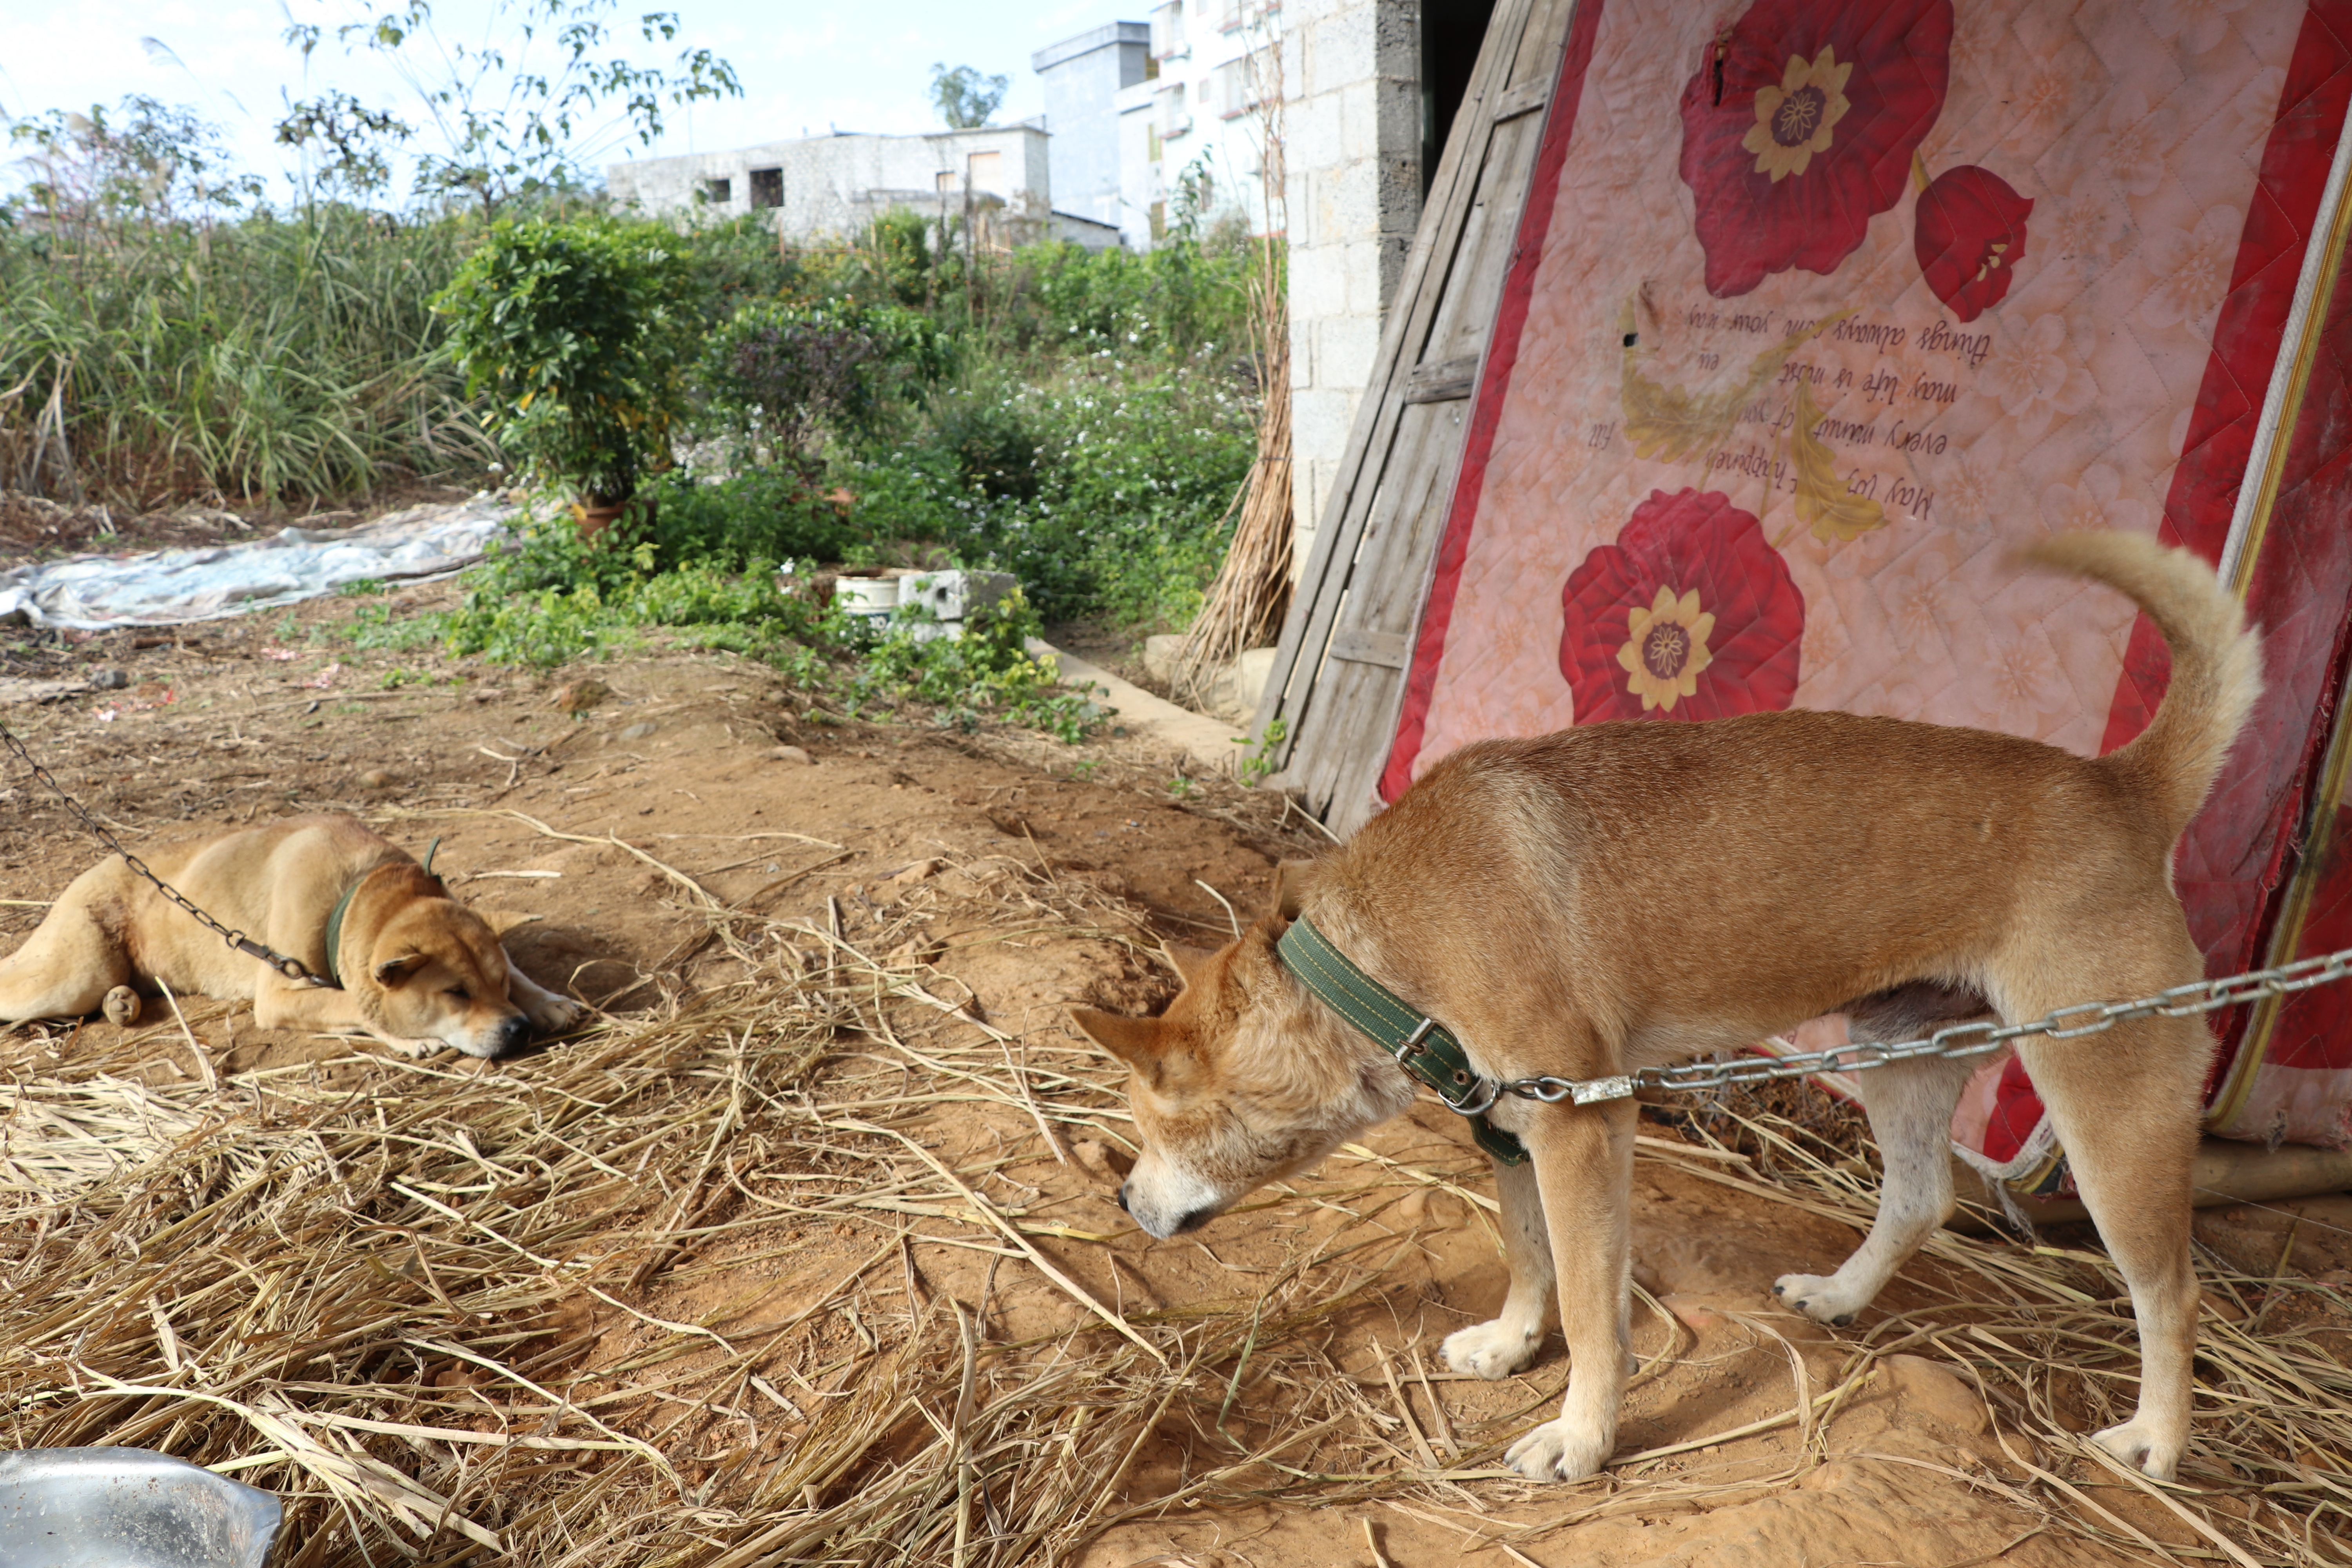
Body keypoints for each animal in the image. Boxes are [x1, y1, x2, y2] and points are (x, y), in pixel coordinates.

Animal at [0, 818, 583, 1062]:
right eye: (455, 994)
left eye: (497, 982)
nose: (518, 1030)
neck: (359, 889)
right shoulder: (280, 993)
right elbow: (354, 1001)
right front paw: (408, 1036)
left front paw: (547, 1002)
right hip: (73, 973)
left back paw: (122, 1003)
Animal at [1077, 536, 2258, 1486]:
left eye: (1148, 1125)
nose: (1124, 1202)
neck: (1372, 950)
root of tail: (2119, 785)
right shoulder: (1513, 1126)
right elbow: (1531, 1260)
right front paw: (1510, 1346)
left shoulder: (1580, 1124)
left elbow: (1590, 1309)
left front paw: (1581, 1436)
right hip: (1897, 1057)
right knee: (1921, 1199)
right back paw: (1841, 1295)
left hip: (2107, 1109)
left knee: (2171, 1292)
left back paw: (2158, 1440)